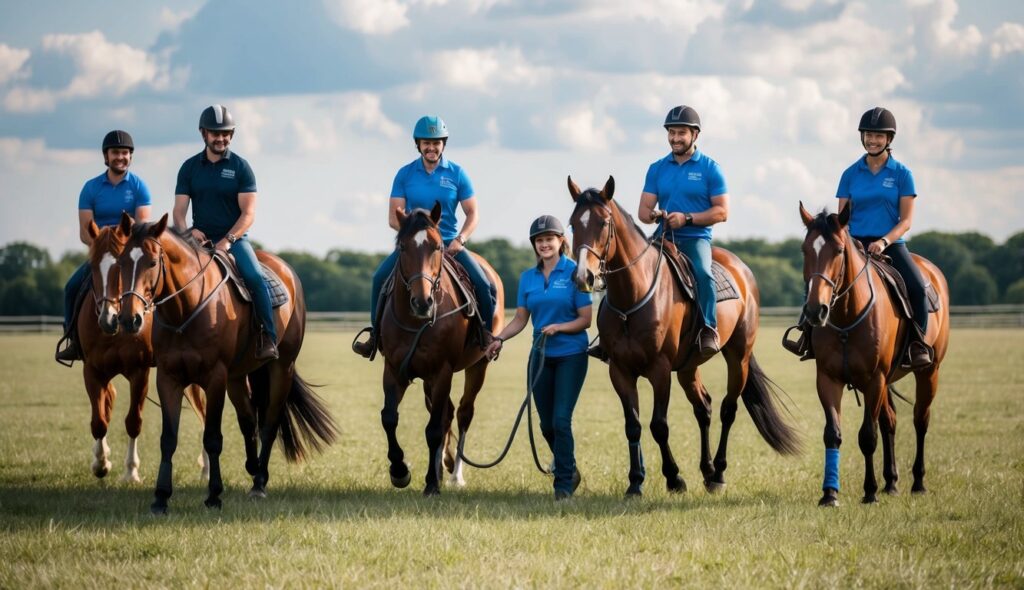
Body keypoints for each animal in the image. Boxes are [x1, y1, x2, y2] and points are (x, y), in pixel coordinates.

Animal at [75, 215, 205, 483]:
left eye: (119, 268)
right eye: (92, 267)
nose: (109, 318)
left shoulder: (139, 372)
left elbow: (133, 421)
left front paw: (131, 472)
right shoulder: (92, 371)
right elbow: (99, 421)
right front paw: (101, 463)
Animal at [116, 215, 337, 512]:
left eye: (152, 262)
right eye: (121, 262)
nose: (130, 319)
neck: (186, 309)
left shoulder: (215, 378)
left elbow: (212, 438)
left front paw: (213, 495)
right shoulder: (168, 378)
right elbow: (168, 439)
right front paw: (161, 497)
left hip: (281, 368)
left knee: (269, 422)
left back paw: (259, 483)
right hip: (238, 378)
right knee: (249, 422)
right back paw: (253, 468)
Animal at [378, 202, 505, 493]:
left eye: (437, 247)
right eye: (403, 247)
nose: (422, 302)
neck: (416, 321)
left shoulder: (442, 371)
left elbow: (434, 429)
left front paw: (430, 485)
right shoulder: (394, 369)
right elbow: (389, 417)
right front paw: (399, 471)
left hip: (477, 366)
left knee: (462, 413)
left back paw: (455, 474)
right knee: (446, 413)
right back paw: (441, 464)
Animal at [569, 176, 798, 497]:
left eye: (603, 222)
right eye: (572, 224)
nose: (583, 277)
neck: (633, 296)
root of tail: (741, 269)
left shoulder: (660, 369)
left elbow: (659, 425)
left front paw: (674, 478)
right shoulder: (620, 371)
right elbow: (633, 425)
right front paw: (635, 482)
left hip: (738, 356)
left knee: (728, 409)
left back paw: (719, 473)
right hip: (689, 367)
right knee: (704, 408)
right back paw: (707, 470)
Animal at [798, 203, 950, 508]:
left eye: (838, 250)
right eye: (804, 250)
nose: (815, 311)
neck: (847, 315)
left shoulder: (874, 379)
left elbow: (868, 436)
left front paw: (869, 491)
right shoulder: (828, 379)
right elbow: (833, 434)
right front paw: (830, 493)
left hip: (929, 372)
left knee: (920, 420)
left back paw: (918, 483)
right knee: (889, 420)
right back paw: (891, 483)